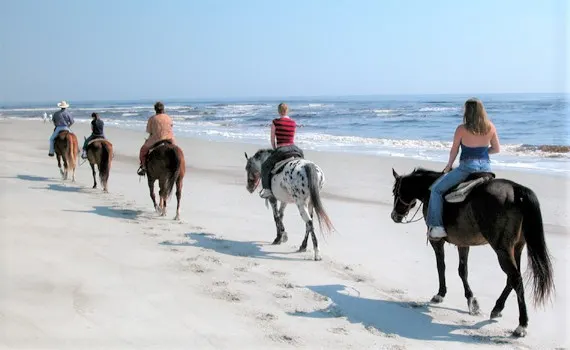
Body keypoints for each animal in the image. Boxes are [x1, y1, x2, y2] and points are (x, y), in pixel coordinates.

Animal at [388, 168, 552, 338]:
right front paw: (471, 300)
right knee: (512, 278)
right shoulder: (463, 243)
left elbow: (441, 266)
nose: (394, 216)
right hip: (516, 247)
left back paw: (521, 324)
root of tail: (516, 189)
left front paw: (440, 294)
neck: (428, 189)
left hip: (502, 249)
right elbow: (463, 271)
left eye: (395, 191)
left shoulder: (437, 241)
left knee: (515, 278)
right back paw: (497, 308)